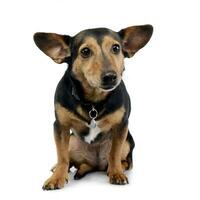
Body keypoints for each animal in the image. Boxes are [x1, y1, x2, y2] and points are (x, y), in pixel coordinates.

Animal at [33, 24, 152, 190]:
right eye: (85, 51)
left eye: (116, 48)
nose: (110, 76)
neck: (93, 102)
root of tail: (95, 164)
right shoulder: (61, 126)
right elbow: (62, 156)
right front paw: (57, 178)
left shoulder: (121, 126)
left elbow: (114, 153)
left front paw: (116, 173)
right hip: (72, 140)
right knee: (70, 160)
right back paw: (58, 168)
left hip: (128, 142)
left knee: (125, 161)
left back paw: (116, 168)